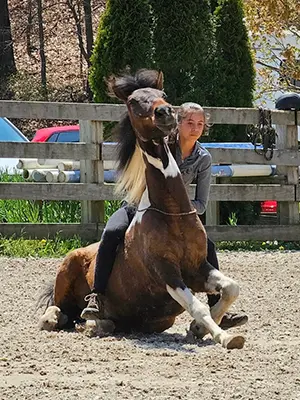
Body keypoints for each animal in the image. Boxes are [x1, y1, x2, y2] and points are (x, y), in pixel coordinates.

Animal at [37, 69, 244, 350]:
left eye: (162, 94)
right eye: (134, 101)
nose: (165, 112)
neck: (171, 213)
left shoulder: (197, 268)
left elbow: (231, 288)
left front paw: (201, 328)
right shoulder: (166, 272)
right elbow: (198, 306)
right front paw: (224, 336)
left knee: (93, 319)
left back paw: (97, 323)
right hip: (67, 272)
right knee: (60, 311)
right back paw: (75, 318)